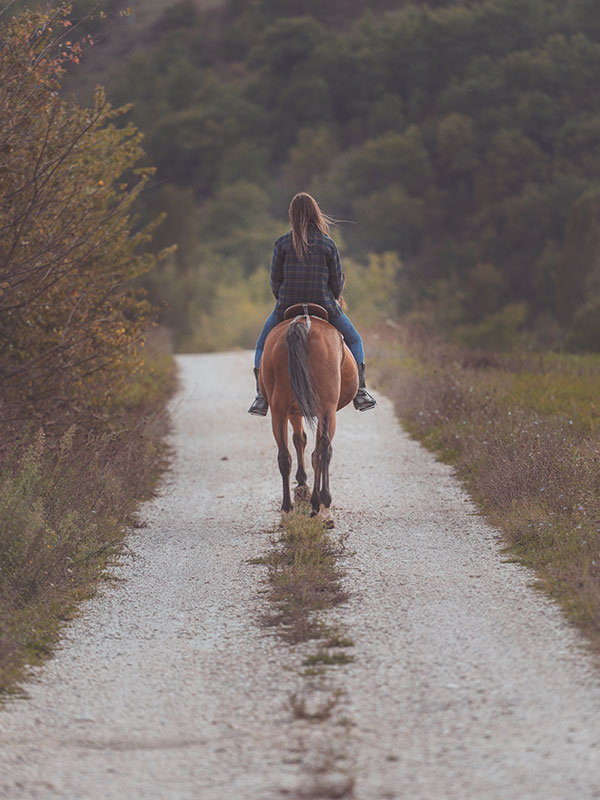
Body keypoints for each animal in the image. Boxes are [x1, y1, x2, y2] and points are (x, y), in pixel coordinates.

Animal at [259, 303, 359, 526]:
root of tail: (301, 323)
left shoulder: (294, 410)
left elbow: (300, 440)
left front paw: (303, 488)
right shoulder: (318, 411)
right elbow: (314, 451)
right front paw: (313, 499)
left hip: (278, 409)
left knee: (284, 456)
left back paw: (287, 510)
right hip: (327, 408)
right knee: (324, 450)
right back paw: (324, 508)